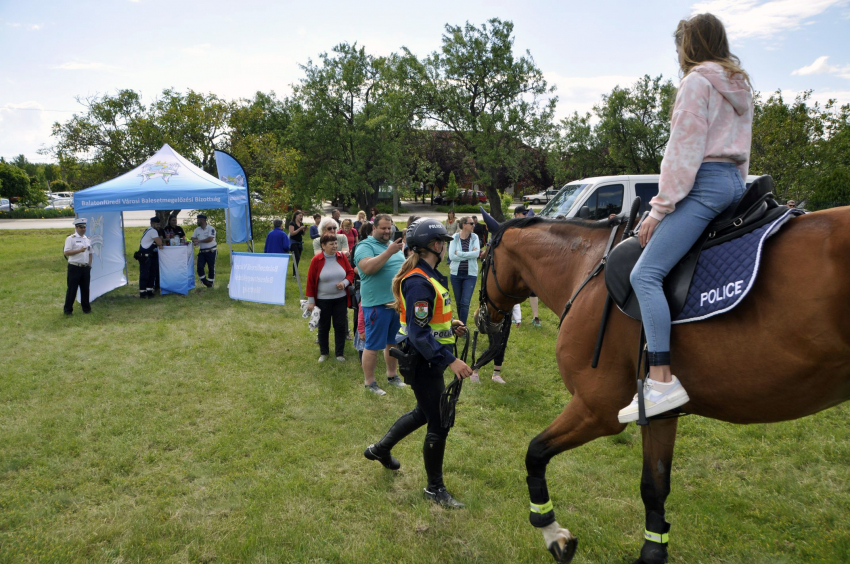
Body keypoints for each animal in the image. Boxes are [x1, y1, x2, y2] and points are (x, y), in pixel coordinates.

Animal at [474, 208, 844, 564]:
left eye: (482, 258)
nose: (481, 318)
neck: (587, 269)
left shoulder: (597, 409)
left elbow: (535, 453)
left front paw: (552, 533)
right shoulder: (657, 414)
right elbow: (654, 486)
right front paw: (653, 550)